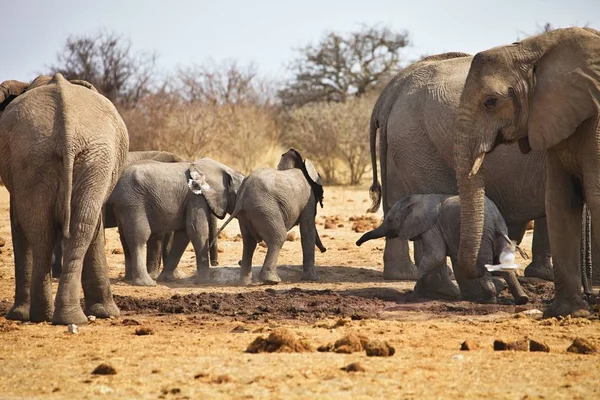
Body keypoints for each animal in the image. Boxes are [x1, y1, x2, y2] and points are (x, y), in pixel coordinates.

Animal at [0, 74, 129, 324]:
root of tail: (67, 137)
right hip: (50, 158)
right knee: (66, 228)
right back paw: (58, 317)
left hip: (73, 158)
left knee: (52, 229)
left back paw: (51, 317)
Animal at [108, 158, 244, 286]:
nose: (216, 263)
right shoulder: (196, 197)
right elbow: (196, 231)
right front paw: (205, 281)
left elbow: (183, 235)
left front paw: (168, 279)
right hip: (133, 203)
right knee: (139, 237)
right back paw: (147, 283)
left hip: (124, 206)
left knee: (125, 237)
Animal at [216, 149, 326, 284]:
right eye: (321, 194)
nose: (324, 250)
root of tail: (243, 194)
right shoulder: (308, 200)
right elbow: (307, 232)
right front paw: (313, 279)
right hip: (265, 209)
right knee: (279, 237)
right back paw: (272, 280)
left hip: (249, 213)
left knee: (249, 243)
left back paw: (245, 283)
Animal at [358, 194, 528, 304]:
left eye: (390, 220)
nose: (357, 243)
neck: (419, 199)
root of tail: (496, 224)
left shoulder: (432, 227)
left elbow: (435, 256)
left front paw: (414, 295)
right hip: (500, 233)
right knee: (505, 266)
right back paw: (522, 299)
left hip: (483, 237)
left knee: (482, 265)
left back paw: (490, 300)